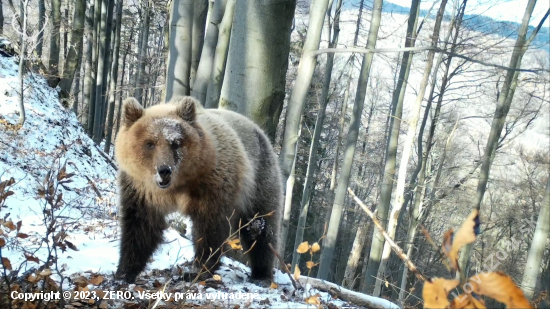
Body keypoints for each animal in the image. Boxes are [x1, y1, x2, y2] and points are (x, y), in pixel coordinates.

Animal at [113, 96, 282, 284]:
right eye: (150, 143)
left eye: (175, 143)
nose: (164, 170)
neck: (178, 186)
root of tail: (259, 130)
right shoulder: (141, 189)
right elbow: (140, 226)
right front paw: (124, 272)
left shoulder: (211, 185)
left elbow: (209, 228)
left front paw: (199, 270)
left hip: (260, 179)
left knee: (261, 226)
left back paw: (261, 274)